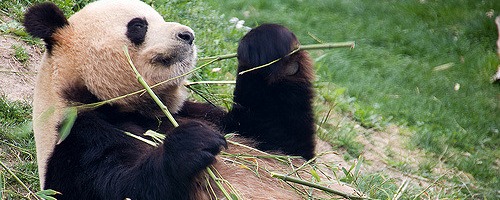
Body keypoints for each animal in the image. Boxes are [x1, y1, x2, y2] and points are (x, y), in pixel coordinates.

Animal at [24, 0, 316, 198]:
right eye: (139, 25)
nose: (188, 35)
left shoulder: (198, 113)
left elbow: (282, 144)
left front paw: (268, 45)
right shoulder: (77, 140)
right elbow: (121, 187)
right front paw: (193, 142)